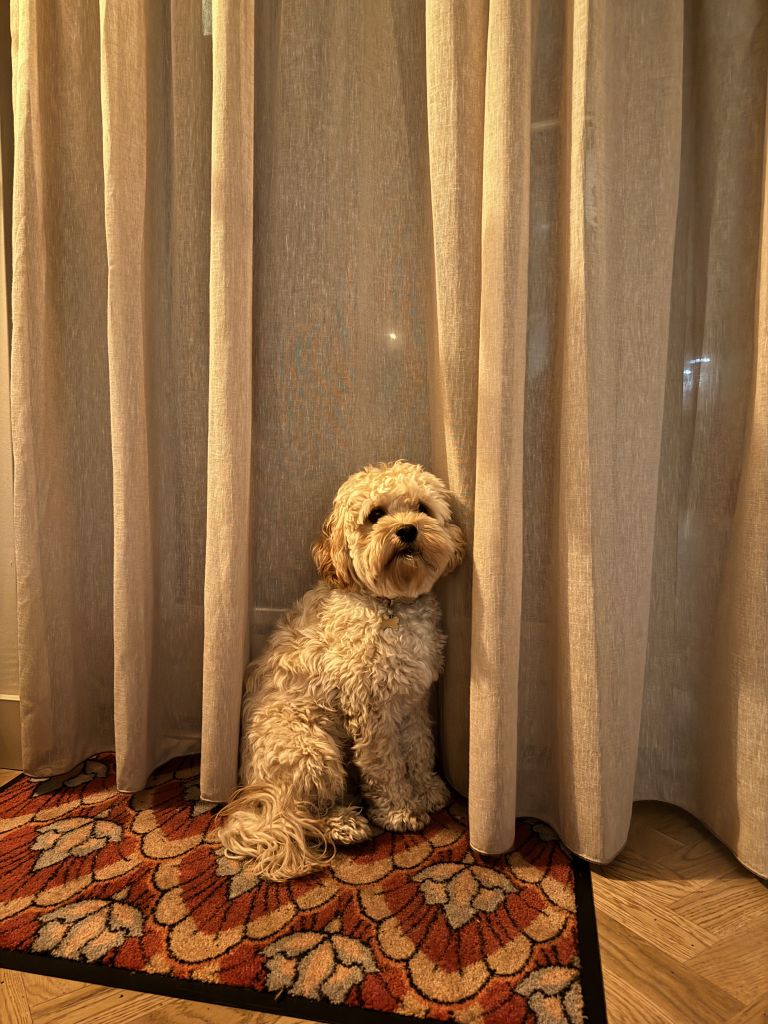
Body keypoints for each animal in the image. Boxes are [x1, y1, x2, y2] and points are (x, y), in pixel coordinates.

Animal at [217, 460, 465, 880]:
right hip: (314, 752)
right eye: (376, 514)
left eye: (422, 508)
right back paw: (344, 824)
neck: (389, 606)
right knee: (301, 815)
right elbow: (385, 765)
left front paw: (428, 791)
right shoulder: (372, 710)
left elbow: (420, 747)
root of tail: (254, 794)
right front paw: (400, 810)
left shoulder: (413, 700)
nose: (407, 529)